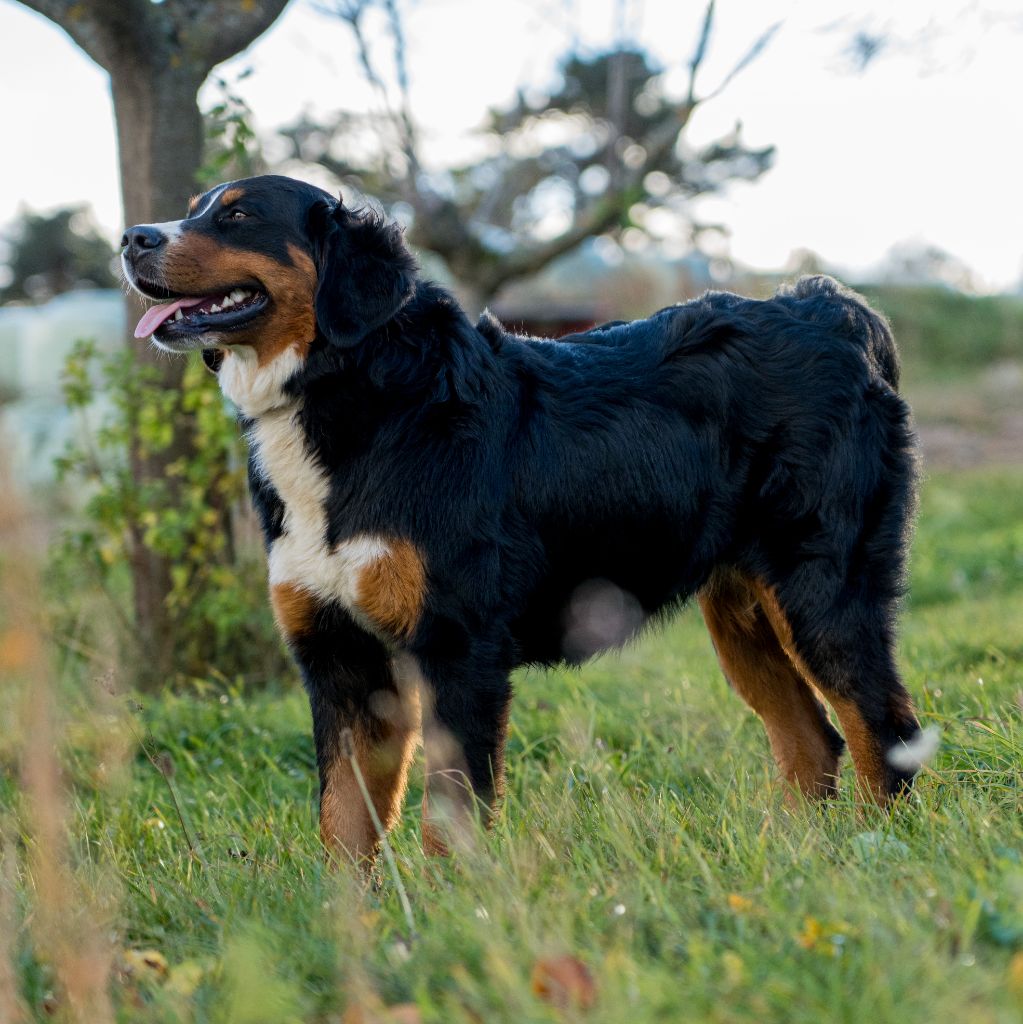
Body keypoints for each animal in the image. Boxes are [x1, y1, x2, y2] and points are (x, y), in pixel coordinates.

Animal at [123, 176, 925, 864]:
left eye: (237, 214)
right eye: (194, 209)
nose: (133, 237)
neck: (352, 395)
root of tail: (826, 308)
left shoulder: (458, 649)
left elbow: (448, 818)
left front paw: (451, 918)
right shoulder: (342, 658)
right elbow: (343, 825)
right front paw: (355, 932)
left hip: (822, 597)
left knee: (884, 732)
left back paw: (875, 858)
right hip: (744, 615)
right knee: (812, 743)